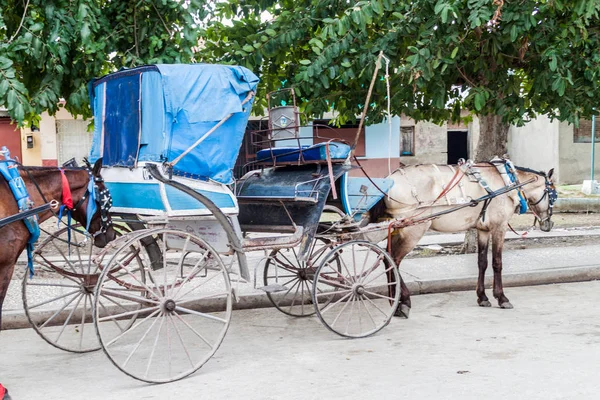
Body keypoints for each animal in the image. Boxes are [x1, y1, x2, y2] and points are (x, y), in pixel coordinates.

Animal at [382, 162, 556, 316]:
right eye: (553, 195)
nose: (549, 223)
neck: (508, 181)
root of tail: (390, 178)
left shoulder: (483, 229)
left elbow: (482, 262)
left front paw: (483, 297)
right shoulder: (499, 227)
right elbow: (497, 263)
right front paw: (501, 298)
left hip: (397, 229)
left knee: (386, 257)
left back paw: (393, 301)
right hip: (413, 229)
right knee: (394, 260)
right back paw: (403, 301)